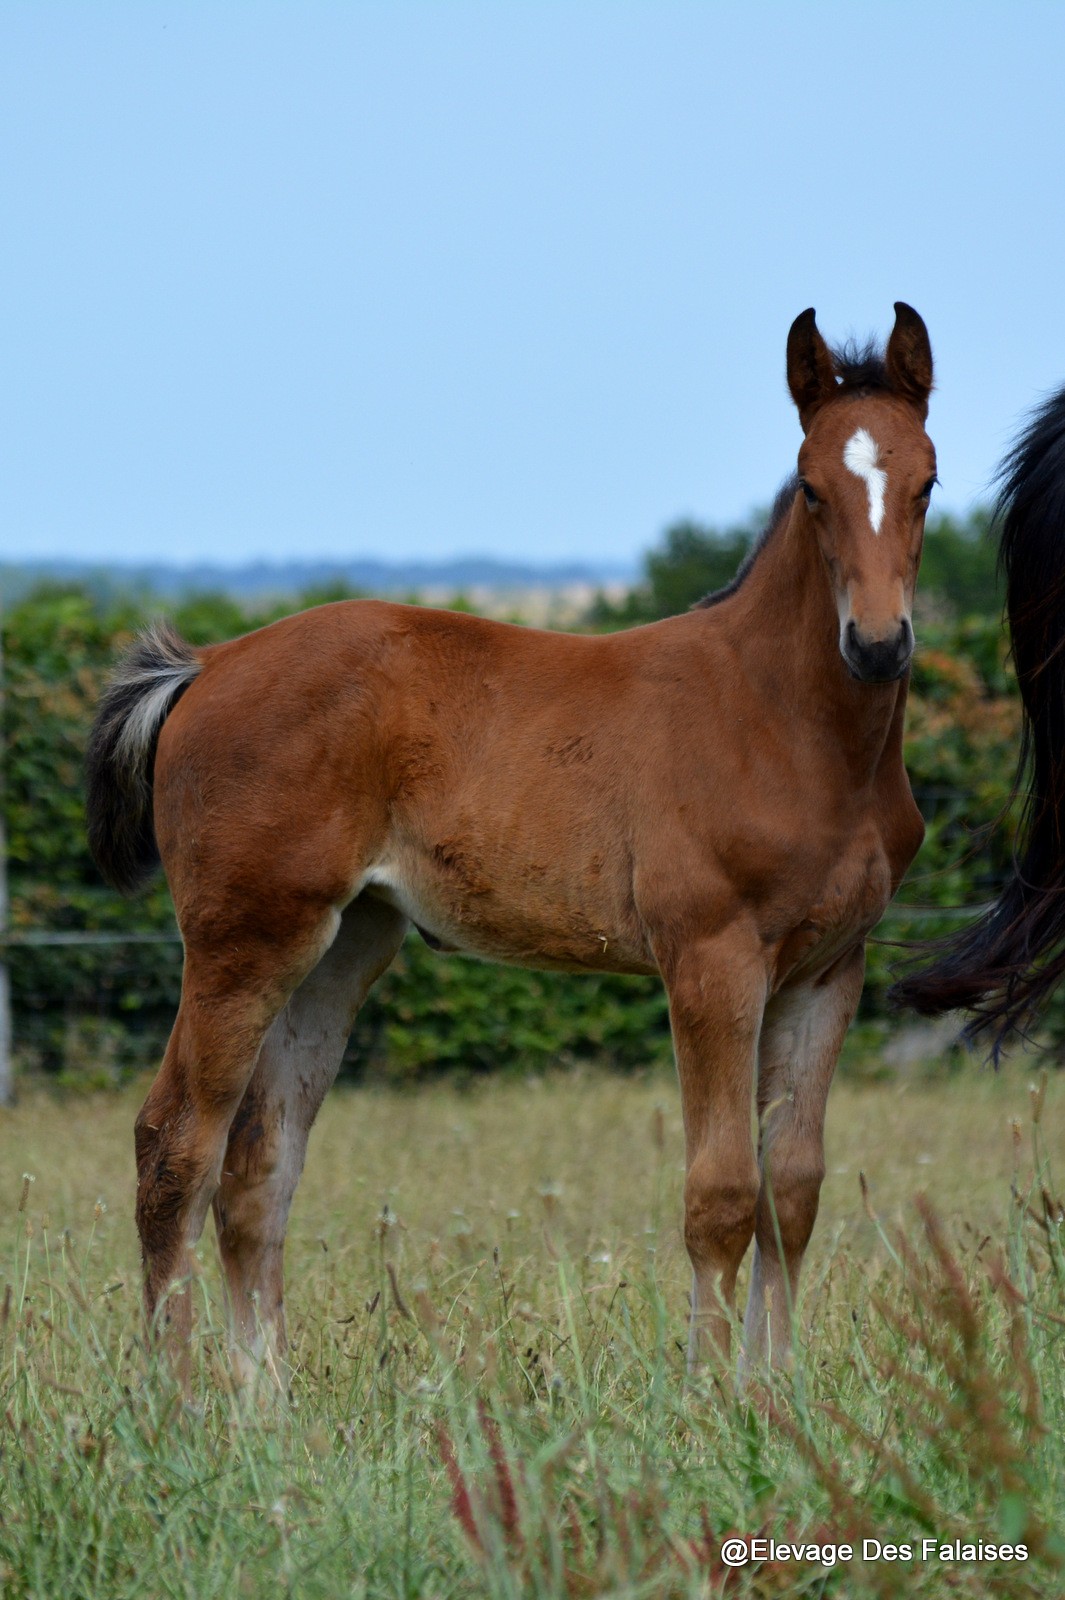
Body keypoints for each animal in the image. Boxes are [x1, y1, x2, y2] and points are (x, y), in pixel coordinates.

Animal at [89, 305, 940, 1382]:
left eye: (927, 481)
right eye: (814, 487)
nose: (876, 645)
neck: (783, 719)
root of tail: (210, 661)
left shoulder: (829, 969)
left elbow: (791, 1191)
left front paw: (773, 1393)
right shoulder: (711, 960)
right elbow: (720, 1194)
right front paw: (711, 1397)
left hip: (342, 945)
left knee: (259, 1169)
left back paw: (263, 1400)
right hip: (245, 938)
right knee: (174, 1148)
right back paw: (179, 1400)